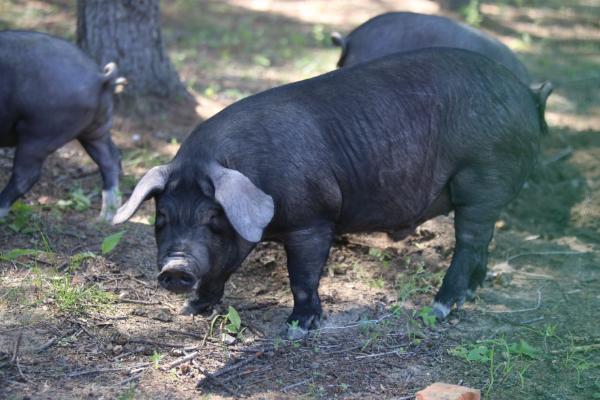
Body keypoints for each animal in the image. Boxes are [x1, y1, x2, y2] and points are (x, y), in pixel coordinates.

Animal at [0, 30, 123, 220]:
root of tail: (100, 77)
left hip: (41, 133)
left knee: (26, 176)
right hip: (97, 128)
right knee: (110, 159)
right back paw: (105, 219)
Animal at [113, 48, 552, 340]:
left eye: (211, 217)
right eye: (162, 218)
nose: (174, 268)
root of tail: (528, 94)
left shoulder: (313, 219)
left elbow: (302, 277)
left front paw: (297, 329)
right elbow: (221, 269)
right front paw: (192, 310)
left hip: (482, 177)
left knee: (469, 242)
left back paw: (440, 308)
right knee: (484, 244)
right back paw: (471, 295)